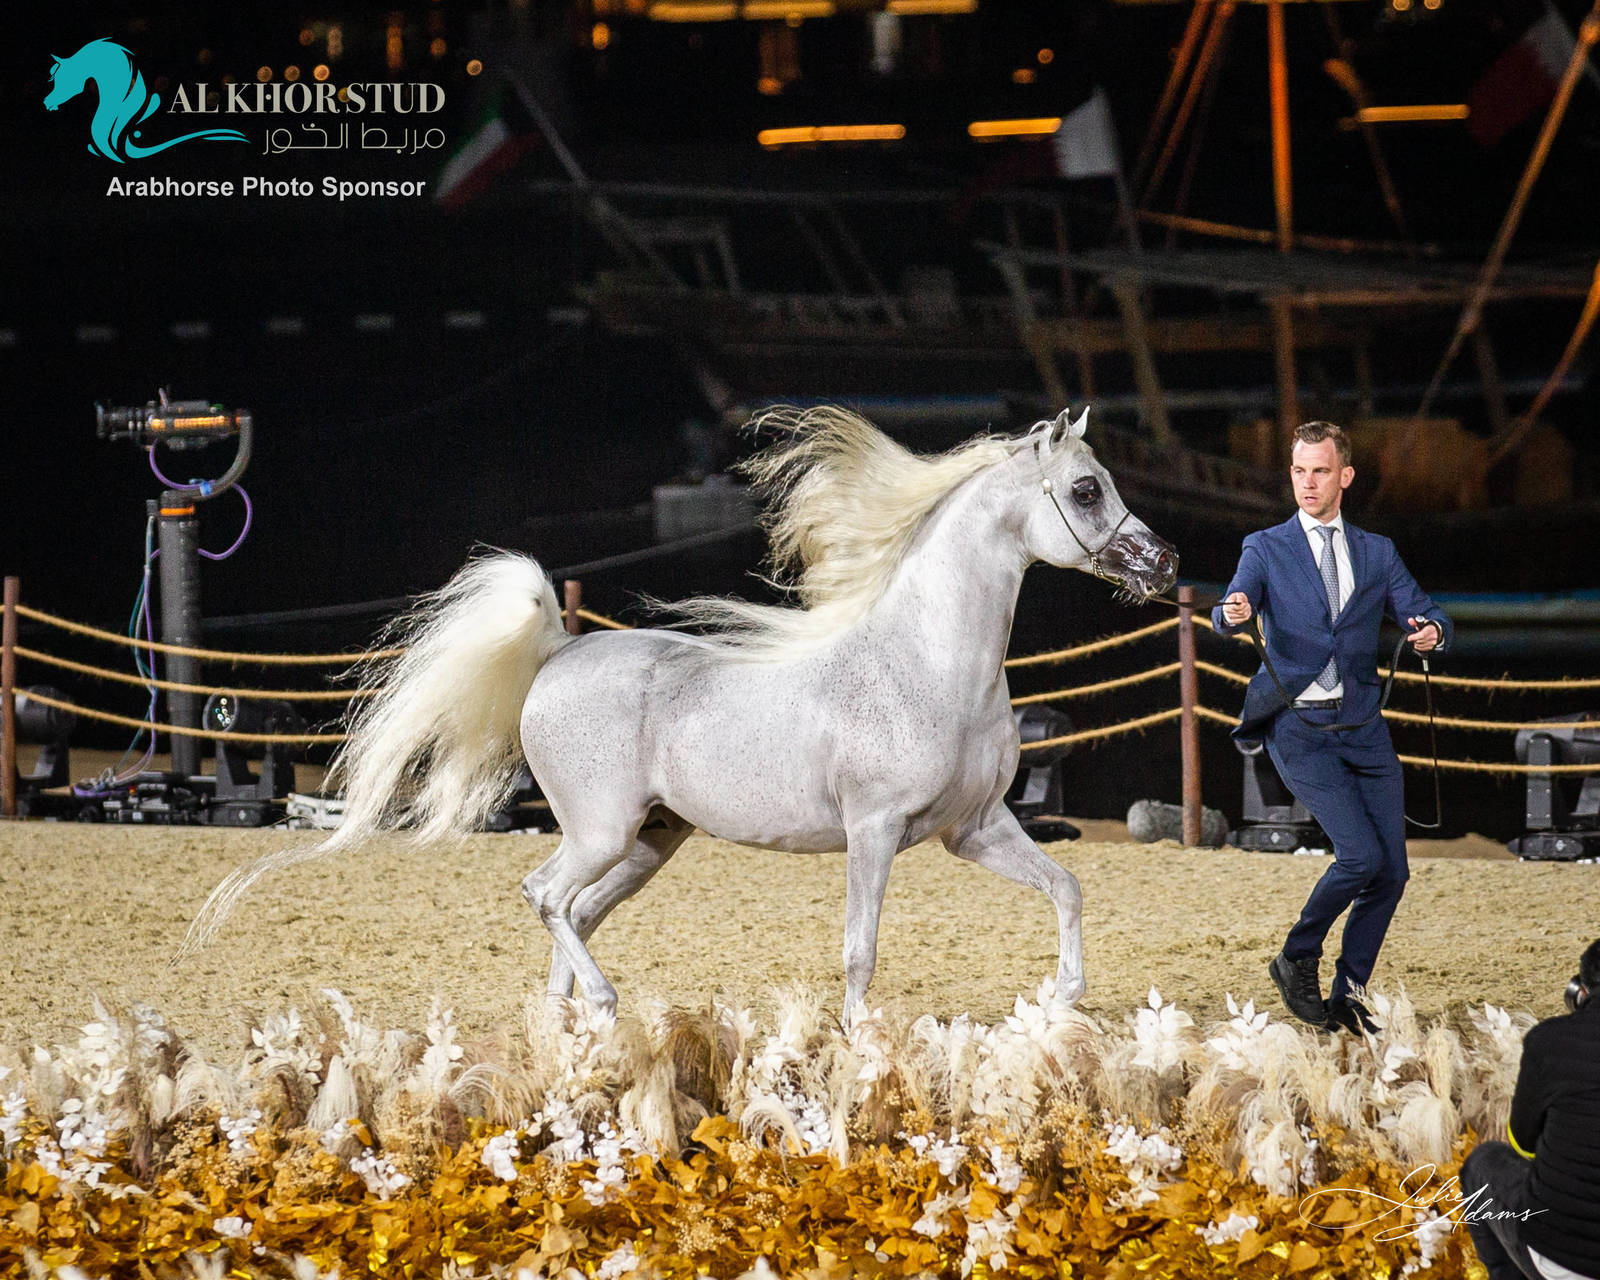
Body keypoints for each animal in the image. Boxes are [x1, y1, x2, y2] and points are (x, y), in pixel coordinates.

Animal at [184, 406, 1177, 1017]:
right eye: (1086, 489)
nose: (1165, 565)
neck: (931, 666)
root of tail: (559, 651)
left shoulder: (974, 828)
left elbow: (1066, 886)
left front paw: (1059, 998)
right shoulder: (876, 832)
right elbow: (860, 950)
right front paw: (860, 1041)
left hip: (649, 844)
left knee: (574, 913)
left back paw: (572, 1024)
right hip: (602, 833)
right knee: (546, 895)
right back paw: (603, 1006)